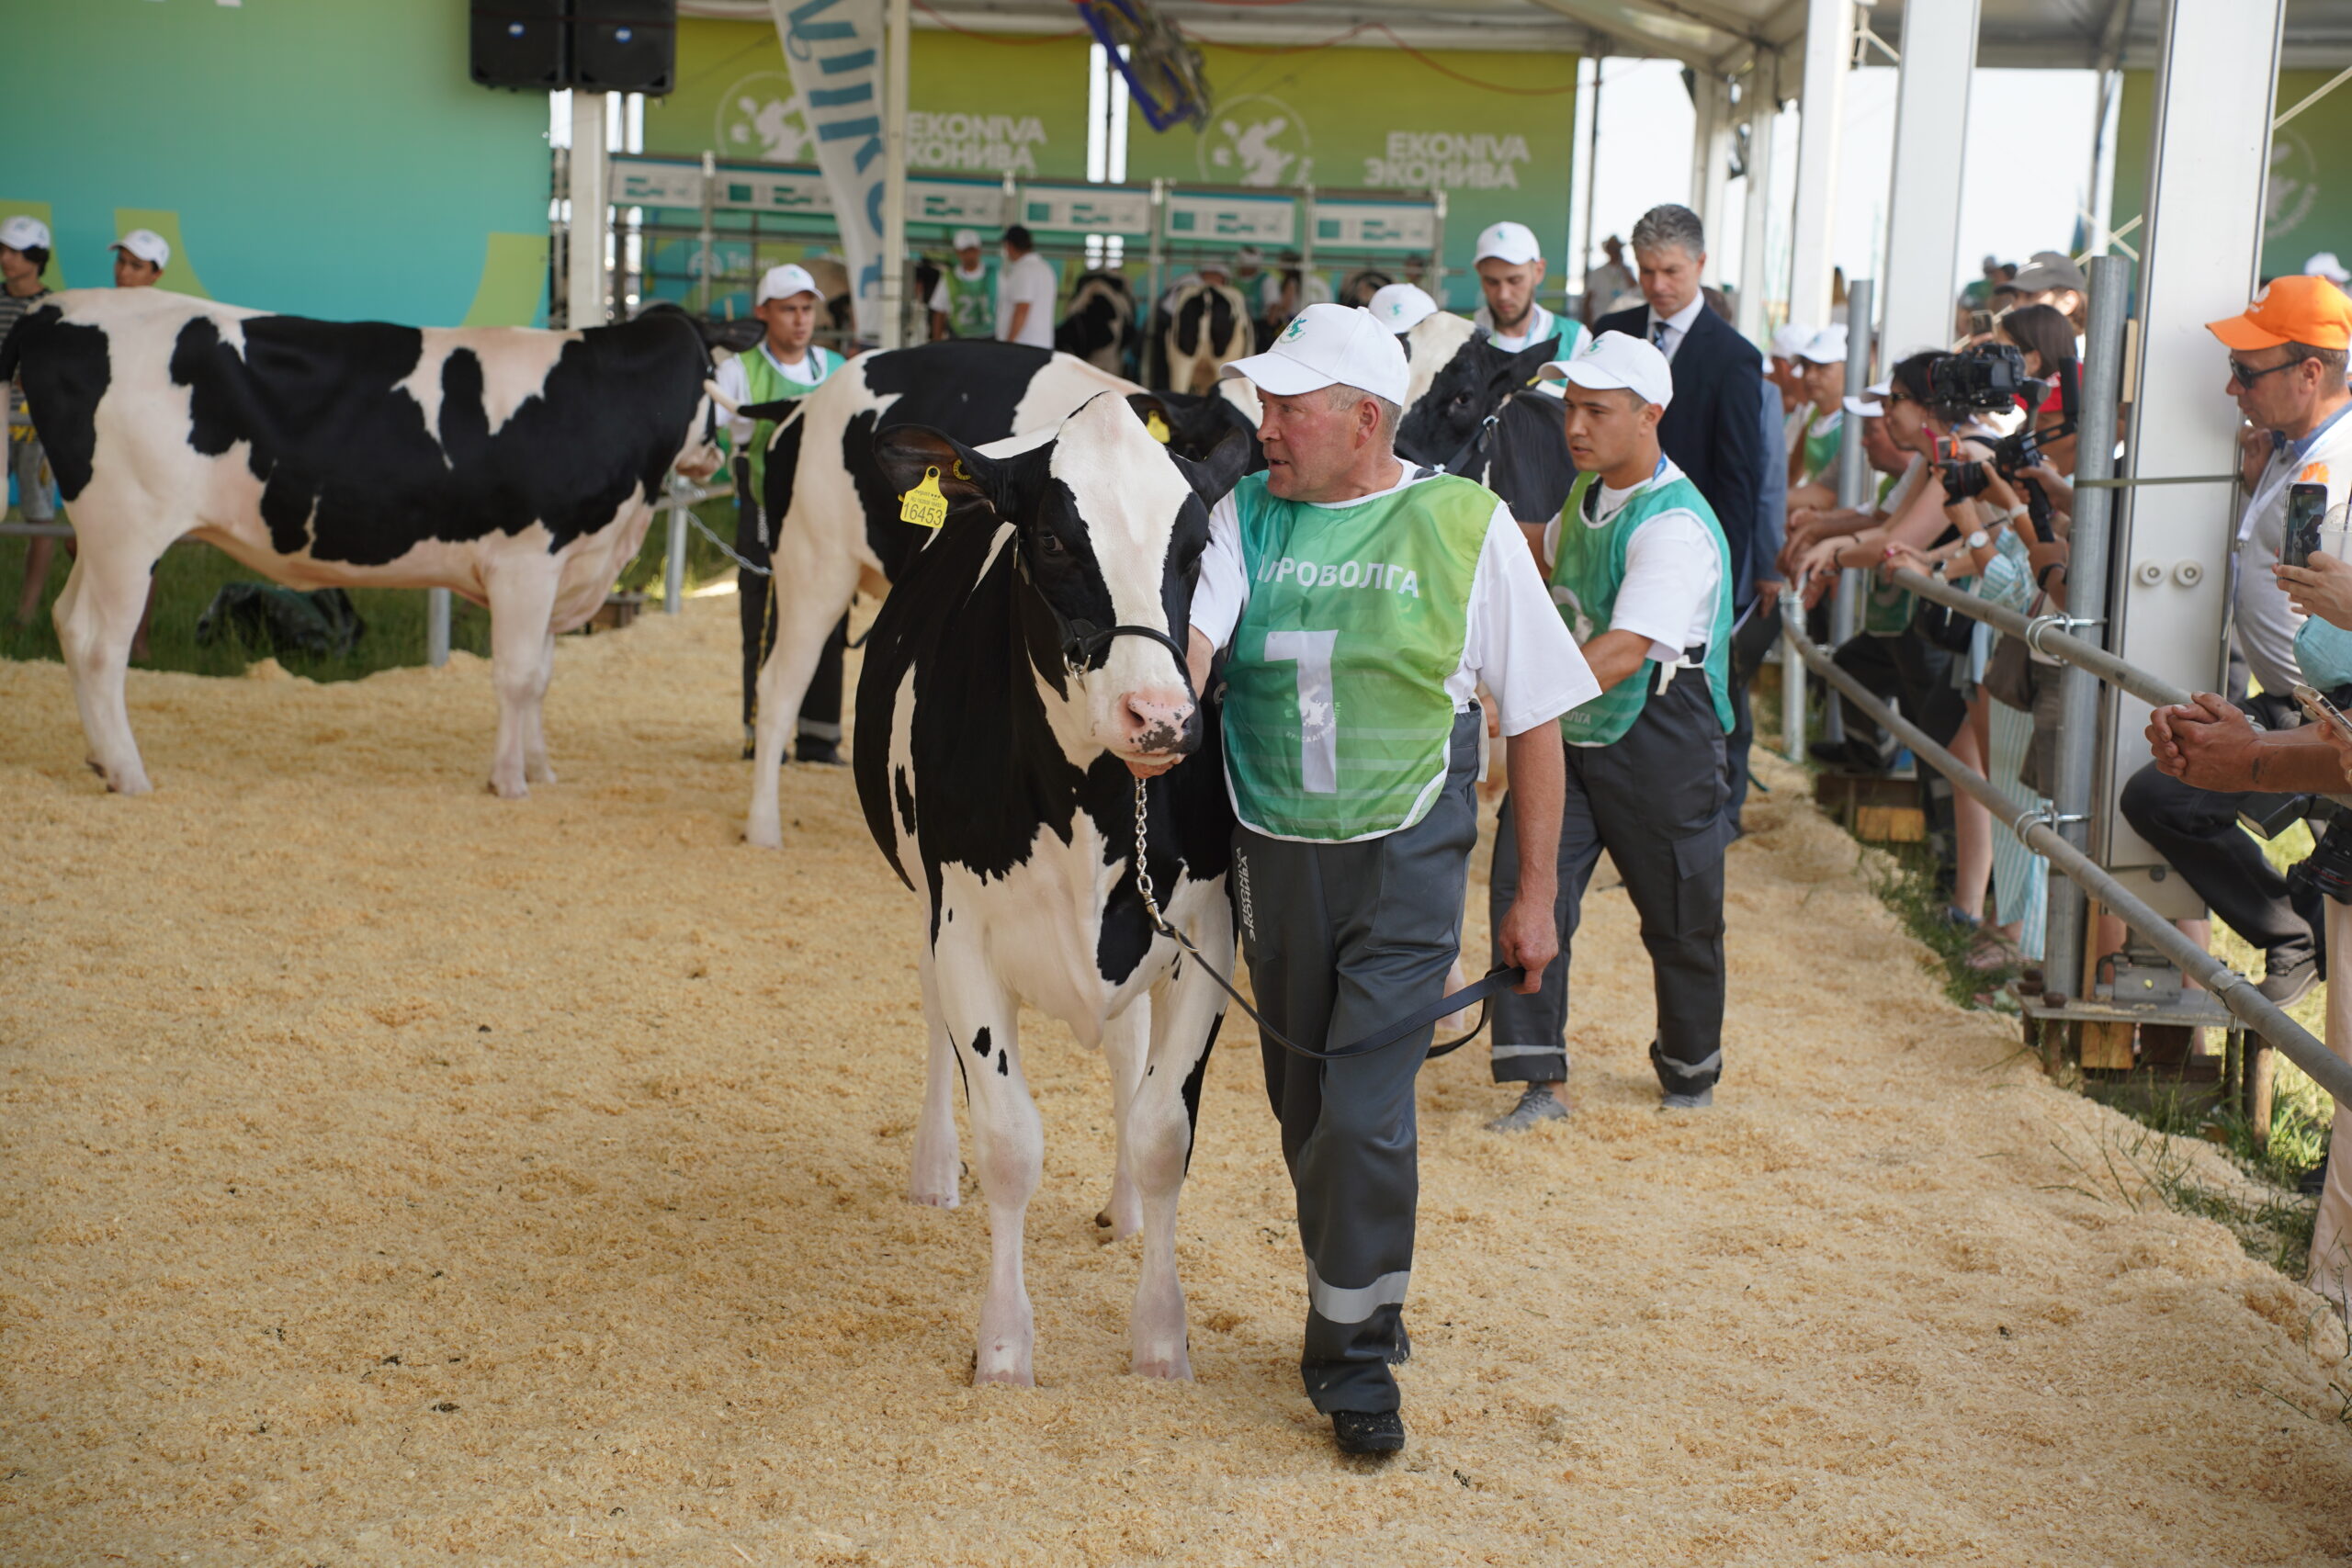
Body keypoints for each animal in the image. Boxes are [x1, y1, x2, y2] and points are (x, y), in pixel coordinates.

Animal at [1, 289, 723, 798]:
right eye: (716, 376)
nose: (718, 453)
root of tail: (54, 309)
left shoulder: (561, 563)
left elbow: (543, 677)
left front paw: (540, 770)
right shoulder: (525, 561)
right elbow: (517, 677)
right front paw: (509, 781)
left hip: (100, 537)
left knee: (70, 624)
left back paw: (99, 758)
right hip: (129, 531)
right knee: (102, 645)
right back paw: (128, 773)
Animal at [731, 340, 1258, 850]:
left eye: (1200, 543)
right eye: (1050, 540)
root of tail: (806, 402)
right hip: (812, 565)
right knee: (780, 684)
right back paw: (763, 827)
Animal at [855, 392, 1254, 1384]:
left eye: (1196, 543)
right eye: (1050, 538)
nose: (1161, 716)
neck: (1094, 802)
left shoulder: (1205, 934)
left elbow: (1162, 1133)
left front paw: (1160, 1338)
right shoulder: (962, 931)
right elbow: (1009, 1144)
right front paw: (1004, 1346)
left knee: (1125, 1053)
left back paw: (1123, 1209)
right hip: (923, 902)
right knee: (931, 1019)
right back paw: (932, 1169)